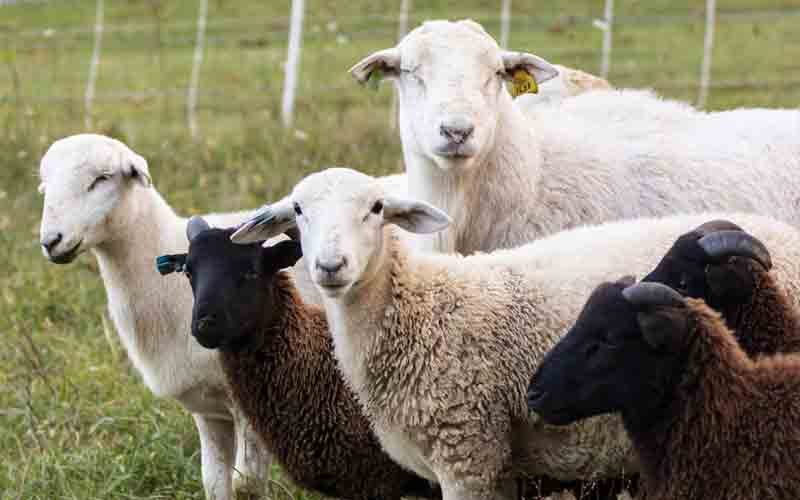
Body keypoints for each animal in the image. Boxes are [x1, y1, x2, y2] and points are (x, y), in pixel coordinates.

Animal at [37, 134, 321, 500]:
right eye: (45, 186)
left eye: (101, 179)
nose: (50, 241)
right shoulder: (209, 407)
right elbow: (214, 483)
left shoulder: (253, 402)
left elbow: (246, 485)